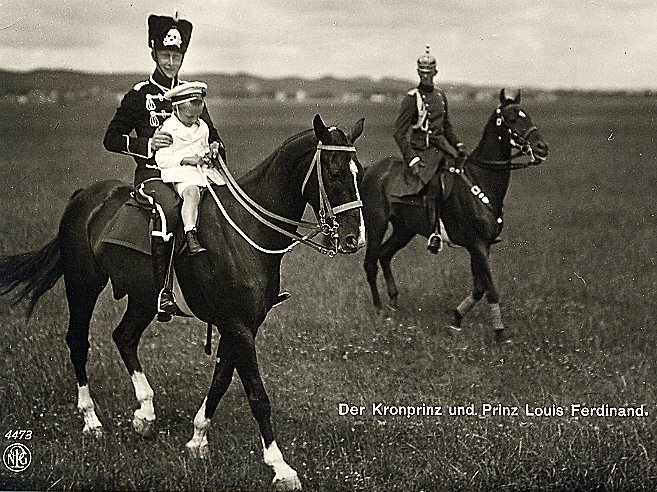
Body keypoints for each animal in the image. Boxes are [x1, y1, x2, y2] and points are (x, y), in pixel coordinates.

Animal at [1, 115, 364, 492]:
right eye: (335, 172)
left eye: (359, 171)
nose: (354, 238)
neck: (246, 230)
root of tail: (86, 196)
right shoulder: (238, 326)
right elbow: (257, 396)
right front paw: (281, 467)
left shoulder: (240, 325)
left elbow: (221, 381)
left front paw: (197, 440)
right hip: (83, 285)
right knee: (77, 341)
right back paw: (91, 420)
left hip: (144, 298)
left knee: (124, 337)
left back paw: (145, 415)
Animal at [358, 89, 548, 338]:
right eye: (512, 118)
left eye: (527, 114)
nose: (542, 147)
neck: (480, 179)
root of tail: (371, 169)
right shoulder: (477, 244)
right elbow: (490, 288)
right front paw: (499, 332)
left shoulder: (482, 246)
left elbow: (479, 287)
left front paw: (457, 317)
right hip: (377, 224)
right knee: (370, 263)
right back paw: (379, 309)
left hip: (404, 229)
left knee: (385, 254)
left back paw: (394, 301)